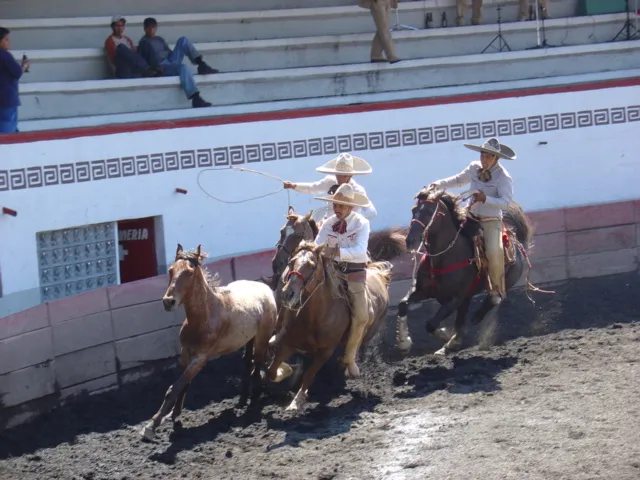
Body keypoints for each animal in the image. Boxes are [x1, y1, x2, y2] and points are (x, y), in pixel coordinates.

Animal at [141, 242, 276, 440]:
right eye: (171, 270)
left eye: (189, 272)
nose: (168, 301)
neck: (205, 316)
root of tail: (265, 289)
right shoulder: (185, 354)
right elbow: (183, 385)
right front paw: (173, 415)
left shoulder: (200, 358)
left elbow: (175, 387)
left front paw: (152, 425)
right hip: (248, 340)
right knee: (247, 363)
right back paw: (242, 399)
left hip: (261, 338)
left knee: (257, 364)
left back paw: (254, 397)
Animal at [268, 240, 402, 412]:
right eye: (291, 262)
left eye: (312, 265)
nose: (287, 294)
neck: (315, 317)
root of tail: (379, 274)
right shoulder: (289, 343)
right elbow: (271, 371)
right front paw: (285, 371)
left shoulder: (326, 351)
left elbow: (309, 374)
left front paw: (296, 401)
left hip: (367, 328)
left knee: (356, 342)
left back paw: (349, 367)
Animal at [392, 188, 548, 356]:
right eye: (414, 210)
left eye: (429, 212)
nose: (410, 241)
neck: (444, 257)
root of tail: (517, 242)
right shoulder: (423, 290)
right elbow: (403, 304)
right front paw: (403, 343)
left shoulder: (456, 298)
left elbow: (431, 323)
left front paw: (446, 336)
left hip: (500, 283)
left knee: (491, 302)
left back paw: (466, 328)